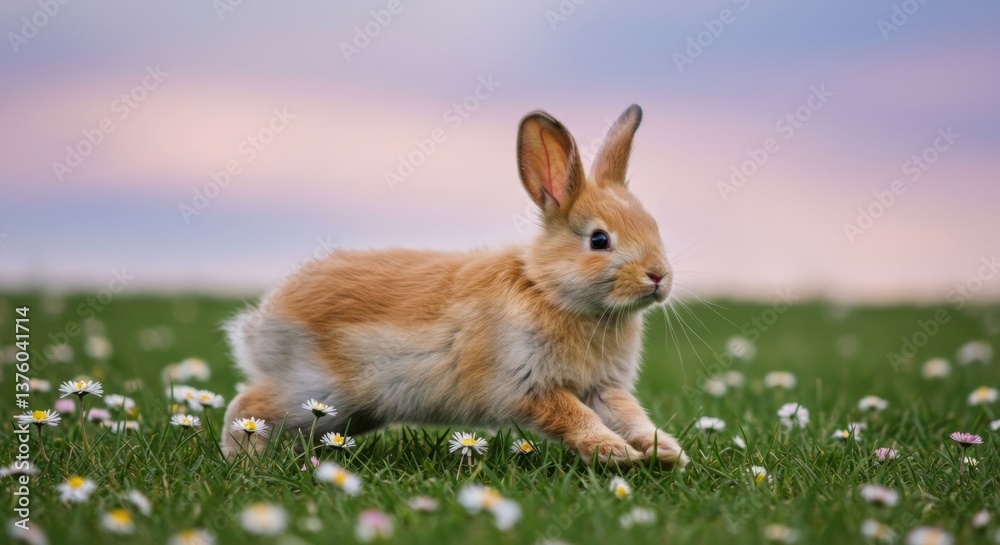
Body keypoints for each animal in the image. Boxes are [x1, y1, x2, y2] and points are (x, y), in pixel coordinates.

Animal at [221, 104, 688, 468]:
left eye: (653, 226)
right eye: (599, 240)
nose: (658, 276)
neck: (548, 288)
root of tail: (263, 320)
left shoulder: (604, 388)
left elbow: (631, 417)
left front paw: (666, 453)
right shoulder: (530, 387)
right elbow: (576, 417)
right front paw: (615, 453)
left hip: (345, 411)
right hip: (313, 390)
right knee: (247, 407)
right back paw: (243, 459)